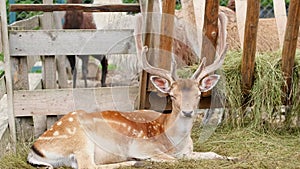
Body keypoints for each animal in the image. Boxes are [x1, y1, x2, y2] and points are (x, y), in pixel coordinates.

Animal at [27, 12, 233, 168]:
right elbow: (173, 160)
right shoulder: (142, 145)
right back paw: (133, 162)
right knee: (88, 165)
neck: (174, 142)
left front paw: (231, 157)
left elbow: (213, 154)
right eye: (172, 96)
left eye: (198, 94)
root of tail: (34, 149)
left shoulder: (189, 151)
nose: (188, 112)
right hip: (80, 140)